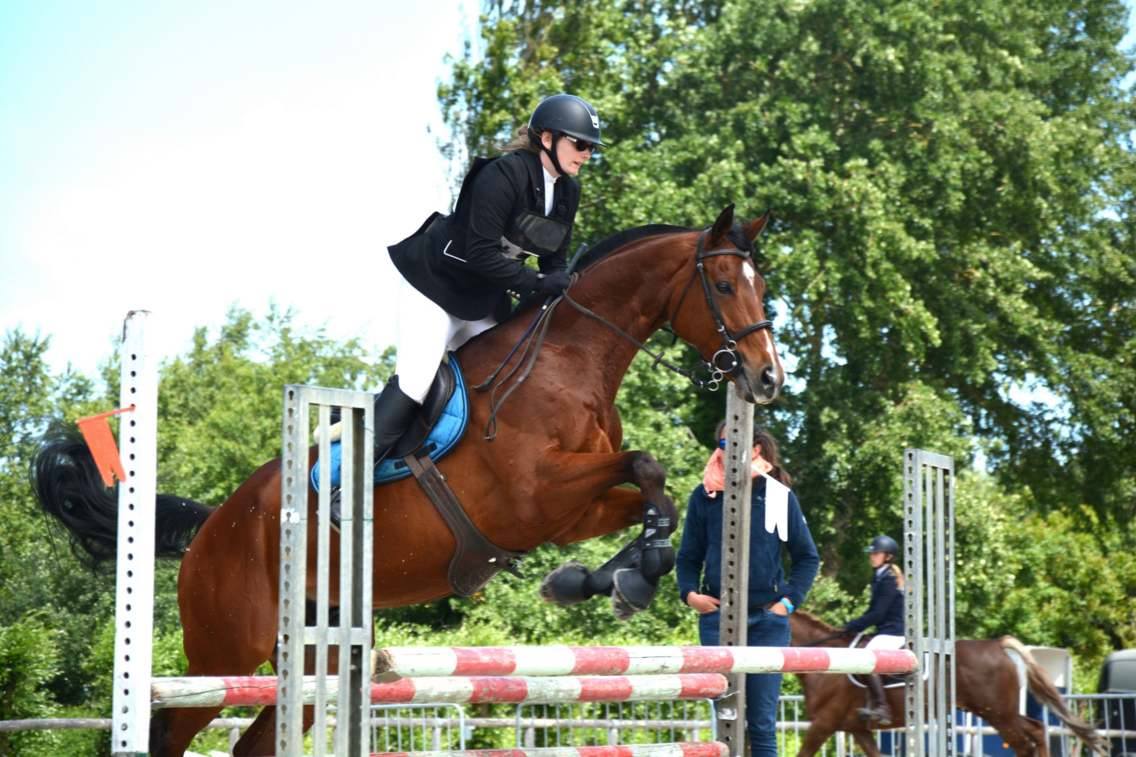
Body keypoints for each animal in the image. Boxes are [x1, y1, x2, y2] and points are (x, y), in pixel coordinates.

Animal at [33, 203, 781, 750]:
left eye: (763, 287)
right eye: (722, 286)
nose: (767, 377)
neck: (569, 360)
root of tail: (211, 527)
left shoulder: (572, 513)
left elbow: (652, 493)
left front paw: (612, 576)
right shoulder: (534, 496)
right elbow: (647, 463)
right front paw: (626, 575)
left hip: (317, 651)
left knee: (255, 741)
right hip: (224, 647)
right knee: (168, 729)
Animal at [786, 609, 1104, 750]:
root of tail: (996, 644)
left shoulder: (823, 724)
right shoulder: (857, 729)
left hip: (999, 714)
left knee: (1026, 741)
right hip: (997, 712)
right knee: (1037, 730)